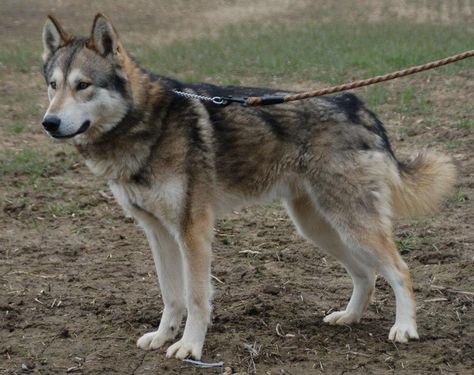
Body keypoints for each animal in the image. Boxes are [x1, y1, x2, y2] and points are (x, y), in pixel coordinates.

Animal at [41, 14, 456, 362]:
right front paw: (162, 337)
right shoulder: (157, 233)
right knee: (366, 274)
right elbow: (170, 296)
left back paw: (404, 328)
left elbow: (195, 298)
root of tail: (357, 104)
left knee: (400, 270)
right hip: (320, 227)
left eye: (83, 85)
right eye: (53, 86)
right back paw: (349, 317)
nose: (49, 122)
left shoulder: (192, 231)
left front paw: (189, 347)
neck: (146, 125)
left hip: (351, 224)